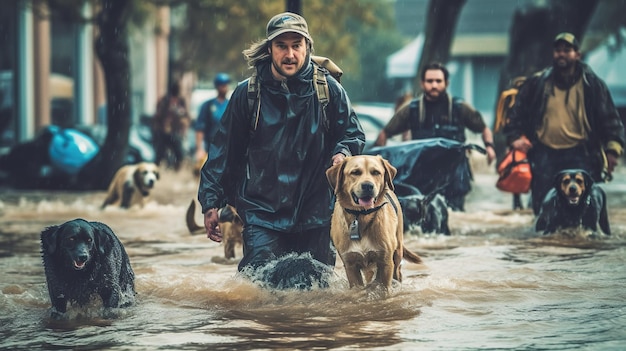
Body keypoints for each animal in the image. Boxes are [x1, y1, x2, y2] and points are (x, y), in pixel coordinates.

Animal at [324, 156, 422, 292]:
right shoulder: (350, 265)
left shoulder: (386, 262)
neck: (361, 216)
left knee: (397, 273)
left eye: (376, 172)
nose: (368, 186)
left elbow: (383, 288)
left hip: (397, 253)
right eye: (355, 172)